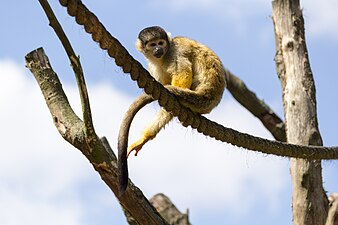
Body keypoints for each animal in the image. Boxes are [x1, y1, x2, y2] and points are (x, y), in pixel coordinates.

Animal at [117, 26, 226, 195]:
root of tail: (209, 96)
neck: (162, 57)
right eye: (152, 44)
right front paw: (143, 139)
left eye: (160, 43)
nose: (158, 49)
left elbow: (183, 74)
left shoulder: (175, 51)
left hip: (201, 96)